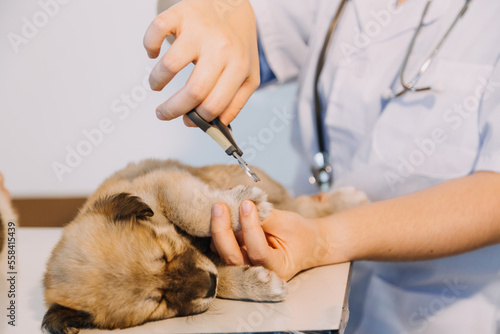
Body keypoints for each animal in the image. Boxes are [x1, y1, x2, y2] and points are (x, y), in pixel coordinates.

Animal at [41, 159, 368, 334]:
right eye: (158, 302)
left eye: (164, 254)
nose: (208, 283)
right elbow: (224, 276)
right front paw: (257, 283)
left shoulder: (164, 182)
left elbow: (192, 211)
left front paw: (240, 206)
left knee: (305, 205)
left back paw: (349, 200)